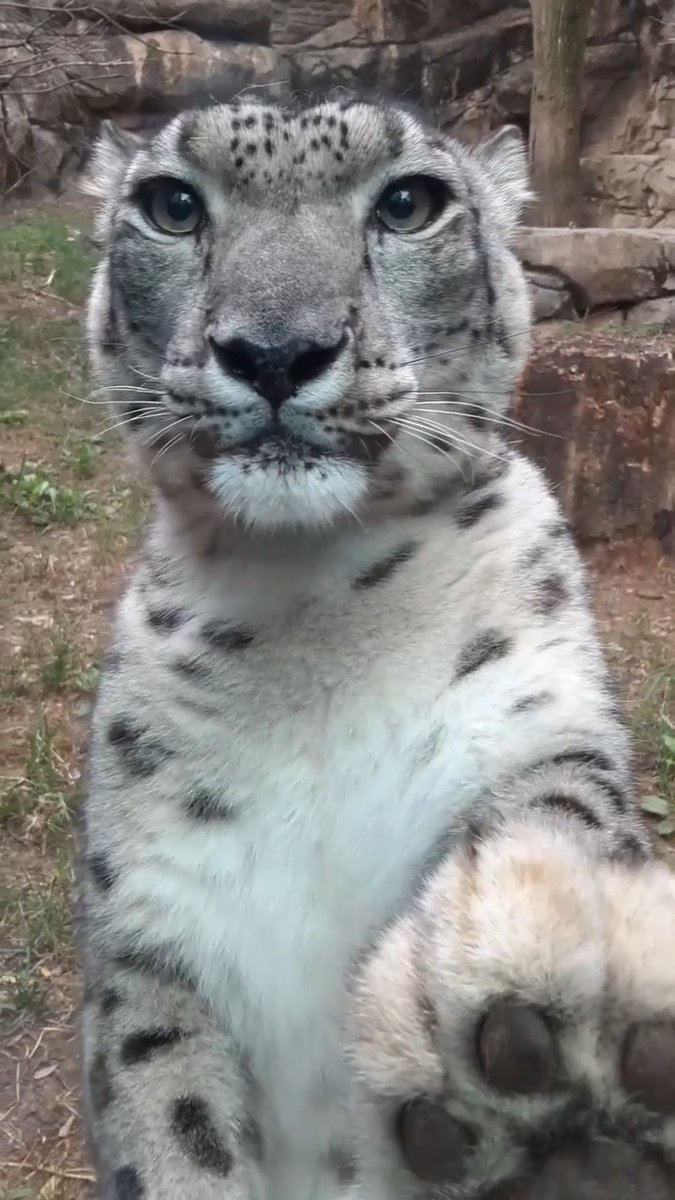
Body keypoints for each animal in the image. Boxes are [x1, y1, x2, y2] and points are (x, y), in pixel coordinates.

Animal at [78, 95, 675, 1200]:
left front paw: (526, 995)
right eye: (171, 204)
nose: (275, 349)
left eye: (409, 203)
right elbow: (166, 1115)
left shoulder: (541, 715)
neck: (313, 618)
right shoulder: (143, 934)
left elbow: (562, 806)